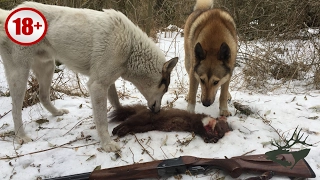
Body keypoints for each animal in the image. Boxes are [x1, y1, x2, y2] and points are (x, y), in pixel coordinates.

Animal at [0, 2, 178, 153]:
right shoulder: (97, 86)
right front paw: (107, 144)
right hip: (20, 74)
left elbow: (116, 103)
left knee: (42, 96)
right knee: (16, 109)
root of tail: (7, 14)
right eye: (165, 89)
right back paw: (21, 136)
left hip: (47, 67)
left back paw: (57, 112)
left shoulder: (107, 83)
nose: (158, 112)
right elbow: (101, 120)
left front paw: (122, 116)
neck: (130, 47)